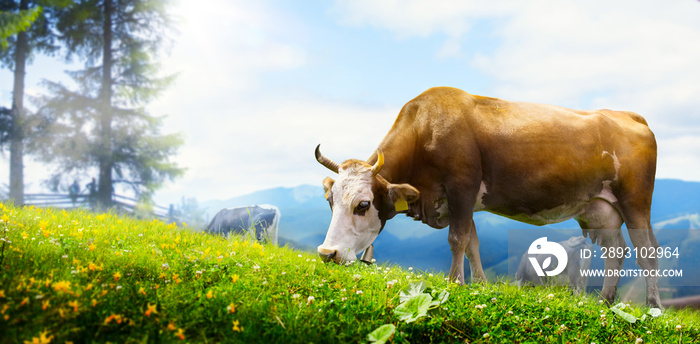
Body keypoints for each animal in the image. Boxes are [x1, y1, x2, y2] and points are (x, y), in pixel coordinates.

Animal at [318, 87, 660, 308]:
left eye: (363, 205)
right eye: (330, 201)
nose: (326, 253)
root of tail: (630, 116)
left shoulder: (461, 186)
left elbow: (457, 239)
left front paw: (454, 284)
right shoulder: (462, 201)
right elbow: (472, 242)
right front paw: (479, 286)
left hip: (635, 201)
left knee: (647, 250)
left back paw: (653, 307)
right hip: (600, 209)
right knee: (616, 250)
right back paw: (605, 302)